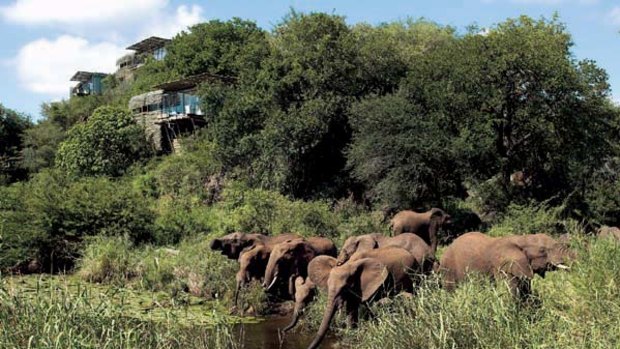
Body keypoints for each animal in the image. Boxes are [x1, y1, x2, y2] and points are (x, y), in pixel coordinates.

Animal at [438, 232, 572, 298]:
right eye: (542, 250)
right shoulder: (501, 267)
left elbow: (526, 291)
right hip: (448, 269)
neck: (521, 239)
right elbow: (509, 294)